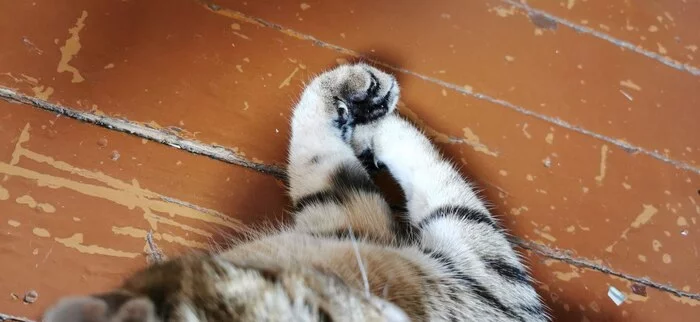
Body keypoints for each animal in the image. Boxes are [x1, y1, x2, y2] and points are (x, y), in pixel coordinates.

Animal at [42, 63, 548, 322]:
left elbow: (319, 153)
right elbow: (328, 157)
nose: (395, 317)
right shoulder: (483, 280)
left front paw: (358, 101)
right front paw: (371, 117)